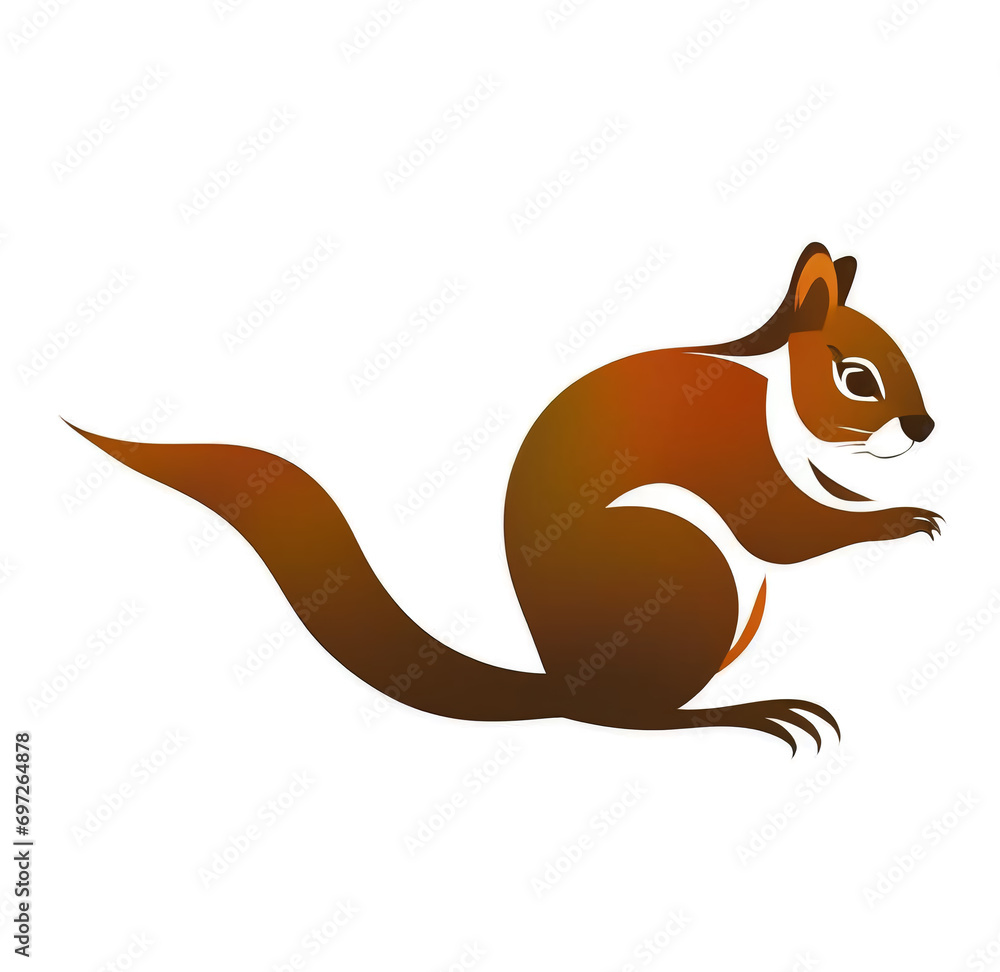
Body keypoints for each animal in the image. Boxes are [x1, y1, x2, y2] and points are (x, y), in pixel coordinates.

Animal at [68, 242, 940, 754]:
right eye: (856, 377)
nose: (925, 427)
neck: (776, 395)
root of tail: (562, 683)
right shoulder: (733, 450)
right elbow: (786, 532)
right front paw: (899, 520)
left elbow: (824, 497)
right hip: (686, 571)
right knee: (632, 720)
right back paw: (740, 714)